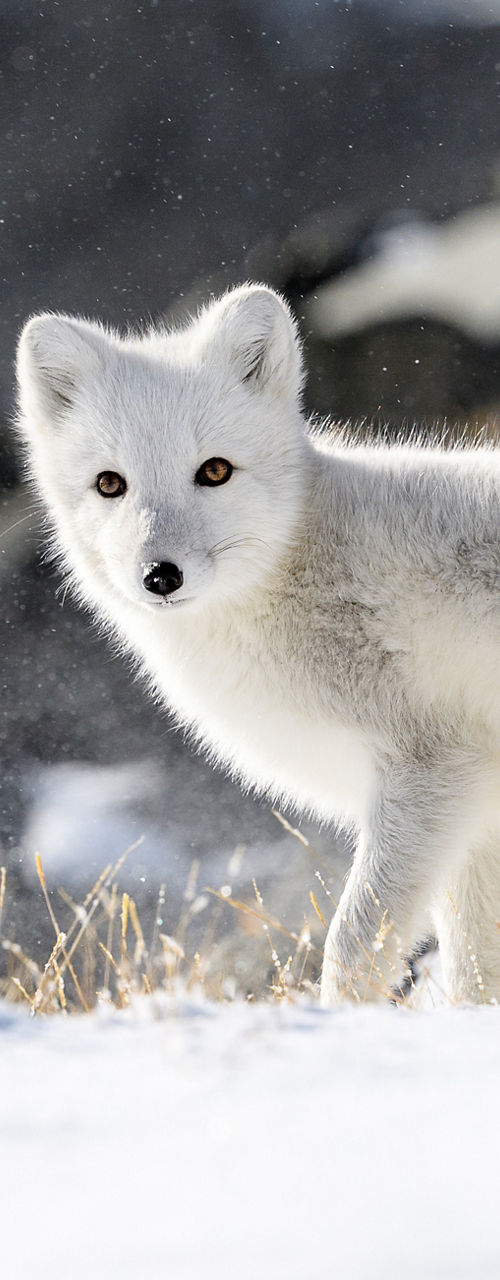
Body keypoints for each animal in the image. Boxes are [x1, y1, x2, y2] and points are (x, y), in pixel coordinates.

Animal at [15, 283, 500, 1005]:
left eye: (215, 471)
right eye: (110, 484)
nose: (160, 576)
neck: (297, 567)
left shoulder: (433, 773)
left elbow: (354, 944)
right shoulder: (472, 818)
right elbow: (476, 970)